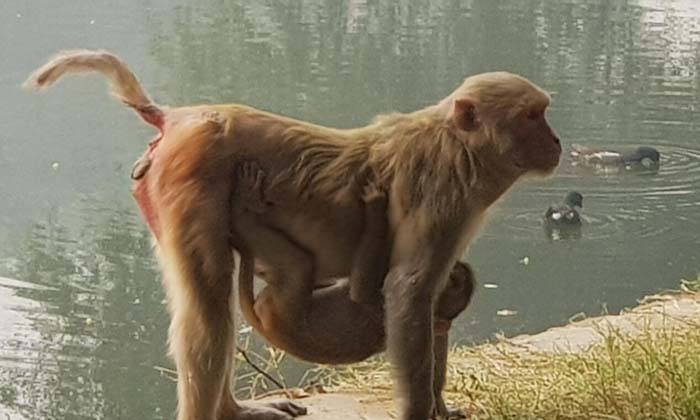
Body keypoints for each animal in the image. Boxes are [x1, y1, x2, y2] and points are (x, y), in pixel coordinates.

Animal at [232, 162, 473, 419]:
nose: (455, 266)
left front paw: (376, 206)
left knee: (299, 266)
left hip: (283, 307)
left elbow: (362, 290)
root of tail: (265, 325)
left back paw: (246, 206)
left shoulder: (390, 299)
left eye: (453, 279)